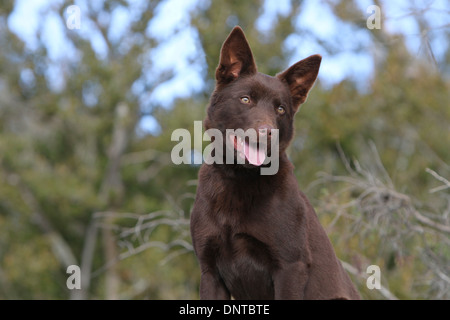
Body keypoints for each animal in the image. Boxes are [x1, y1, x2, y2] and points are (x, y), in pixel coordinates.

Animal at [190, 26, 358, 298]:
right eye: (245, 99)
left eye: (280, 110)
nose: (268, 132)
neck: (239, 178)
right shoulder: (210, 271)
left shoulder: (290, 266)